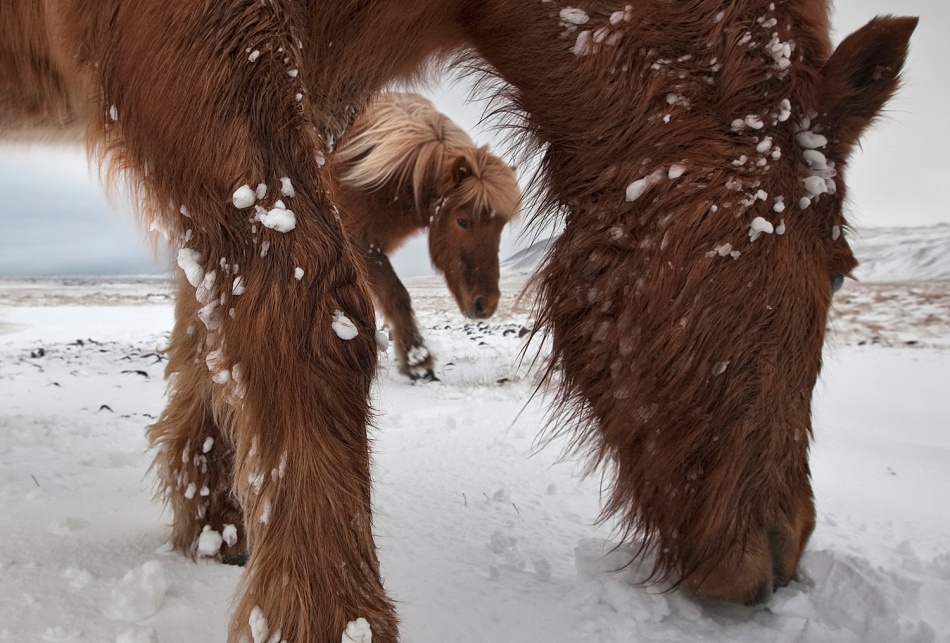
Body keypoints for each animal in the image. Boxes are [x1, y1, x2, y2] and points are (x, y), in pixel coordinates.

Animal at [330, 93, 524, 380]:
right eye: (462, 221)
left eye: (500, 226)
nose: (485, 304)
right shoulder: (360, 244)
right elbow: (397, 295)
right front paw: (418, 361)